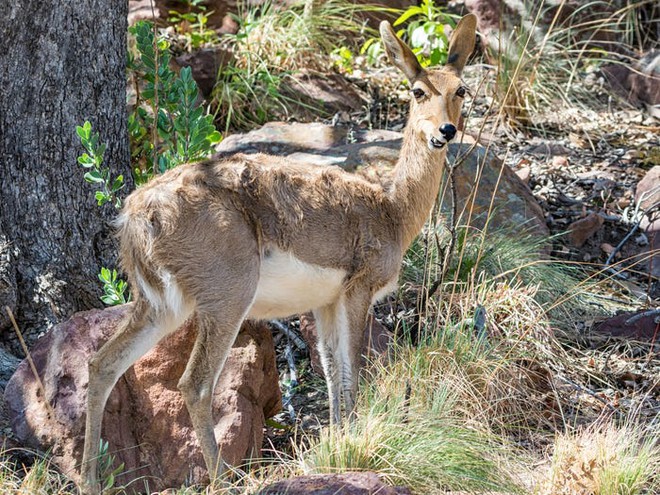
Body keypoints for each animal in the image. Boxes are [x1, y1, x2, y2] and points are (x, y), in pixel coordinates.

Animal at [81, 13, 474, 494]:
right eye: (418, 90)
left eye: (461, 89)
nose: (445, 131)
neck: (393, 211)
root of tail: (136, 214)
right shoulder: (358, 289)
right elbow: (353, 371)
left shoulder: (324, 303)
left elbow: (333, 375)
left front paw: (339, 447)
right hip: (227, 297)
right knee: (194, 383)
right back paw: (222, 478)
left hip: (158, 304)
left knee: (102, 364)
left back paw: (89, 480)